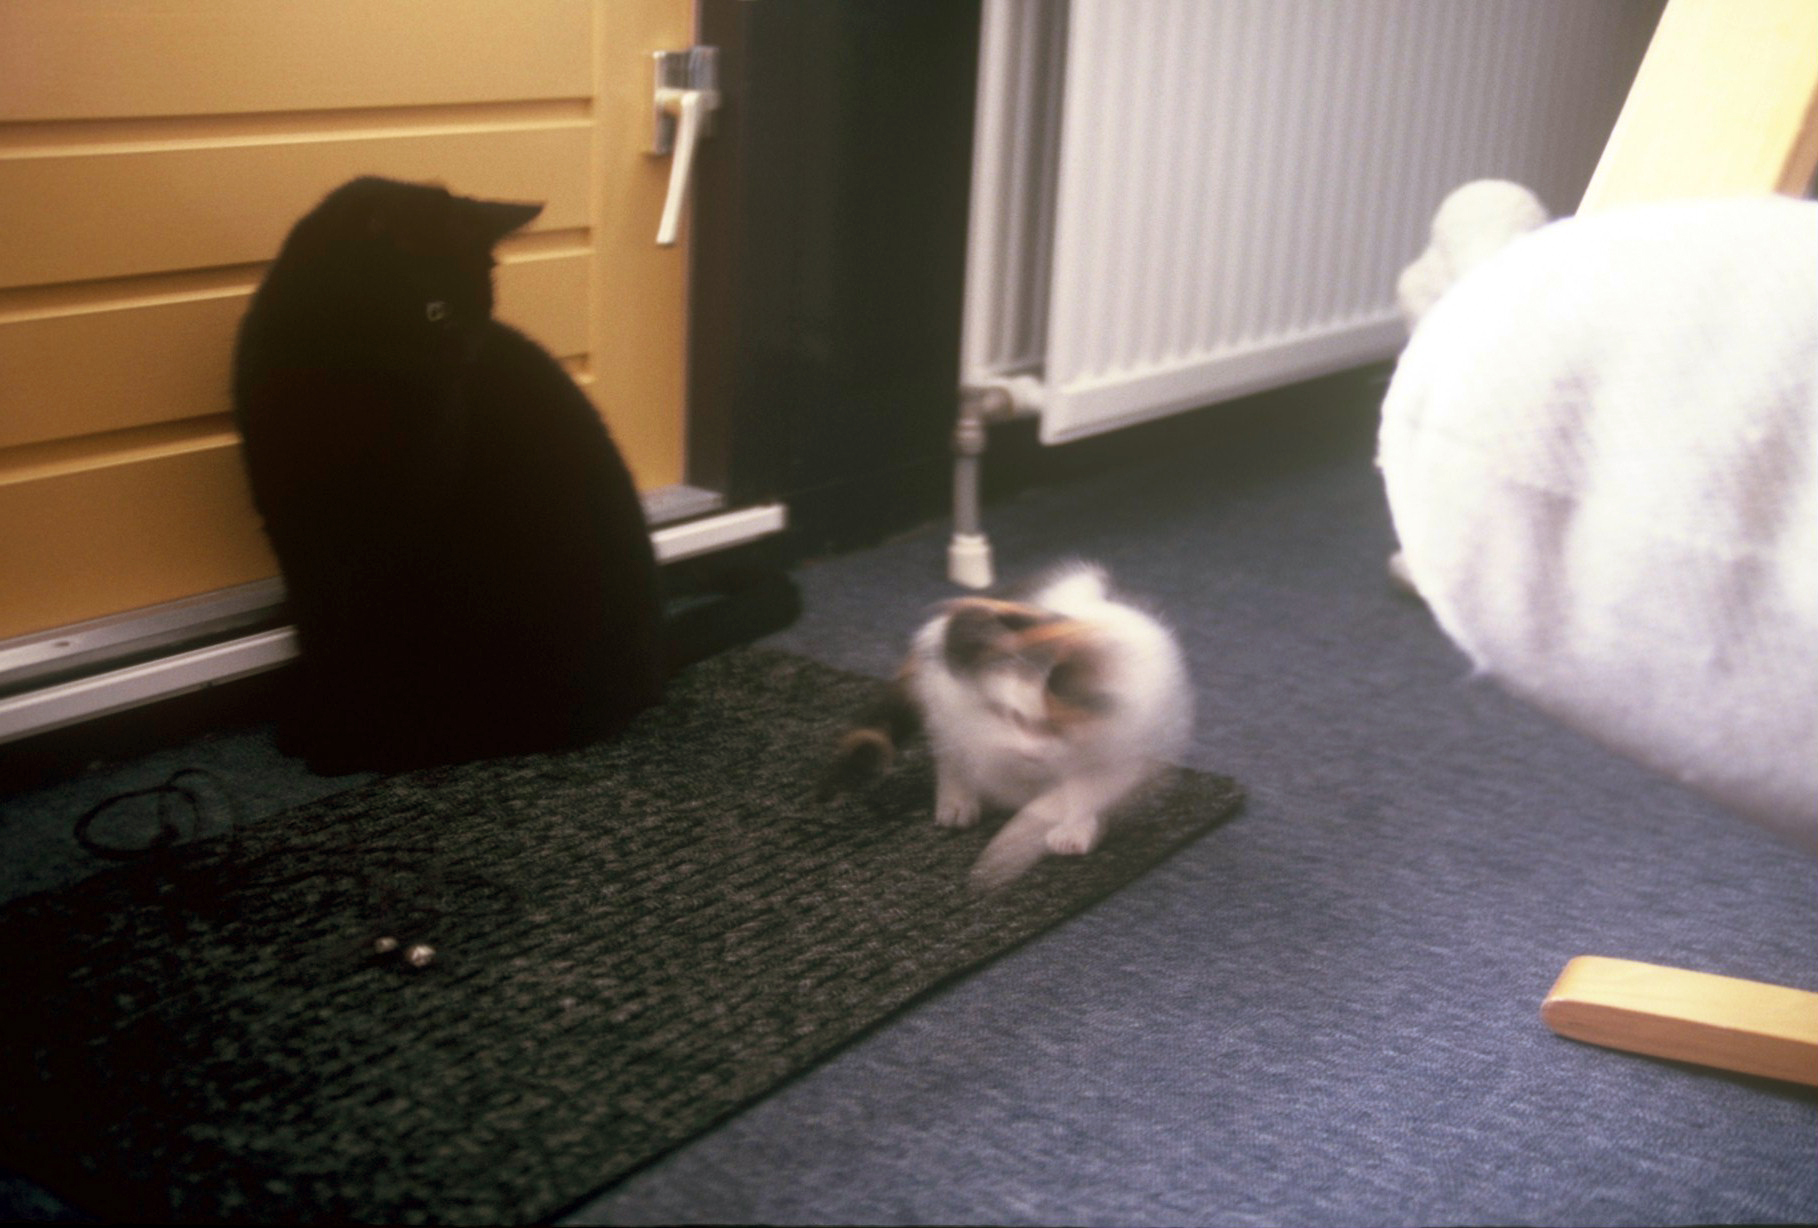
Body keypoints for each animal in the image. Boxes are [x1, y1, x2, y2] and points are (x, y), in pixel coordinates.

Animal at [234, 176, 794, 773]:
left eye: (484, 310)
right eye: (435, 311)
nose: (465, 361)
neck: (345, 389)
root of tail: (654, 658)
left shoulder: (398, 539)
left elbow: (360, 646)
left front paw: (337, 737)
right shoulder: (295, 530)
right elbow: (322, 633)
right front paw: (319, 718)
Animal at [827, 562, 1193, 889]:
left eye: (1055, 725)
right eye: (1011, 715)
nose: (1030, 754)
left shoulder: (1135, 737)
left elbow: (1085, 787)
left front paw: (1071, 827)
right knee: (950, 746)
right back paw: (958, 798)